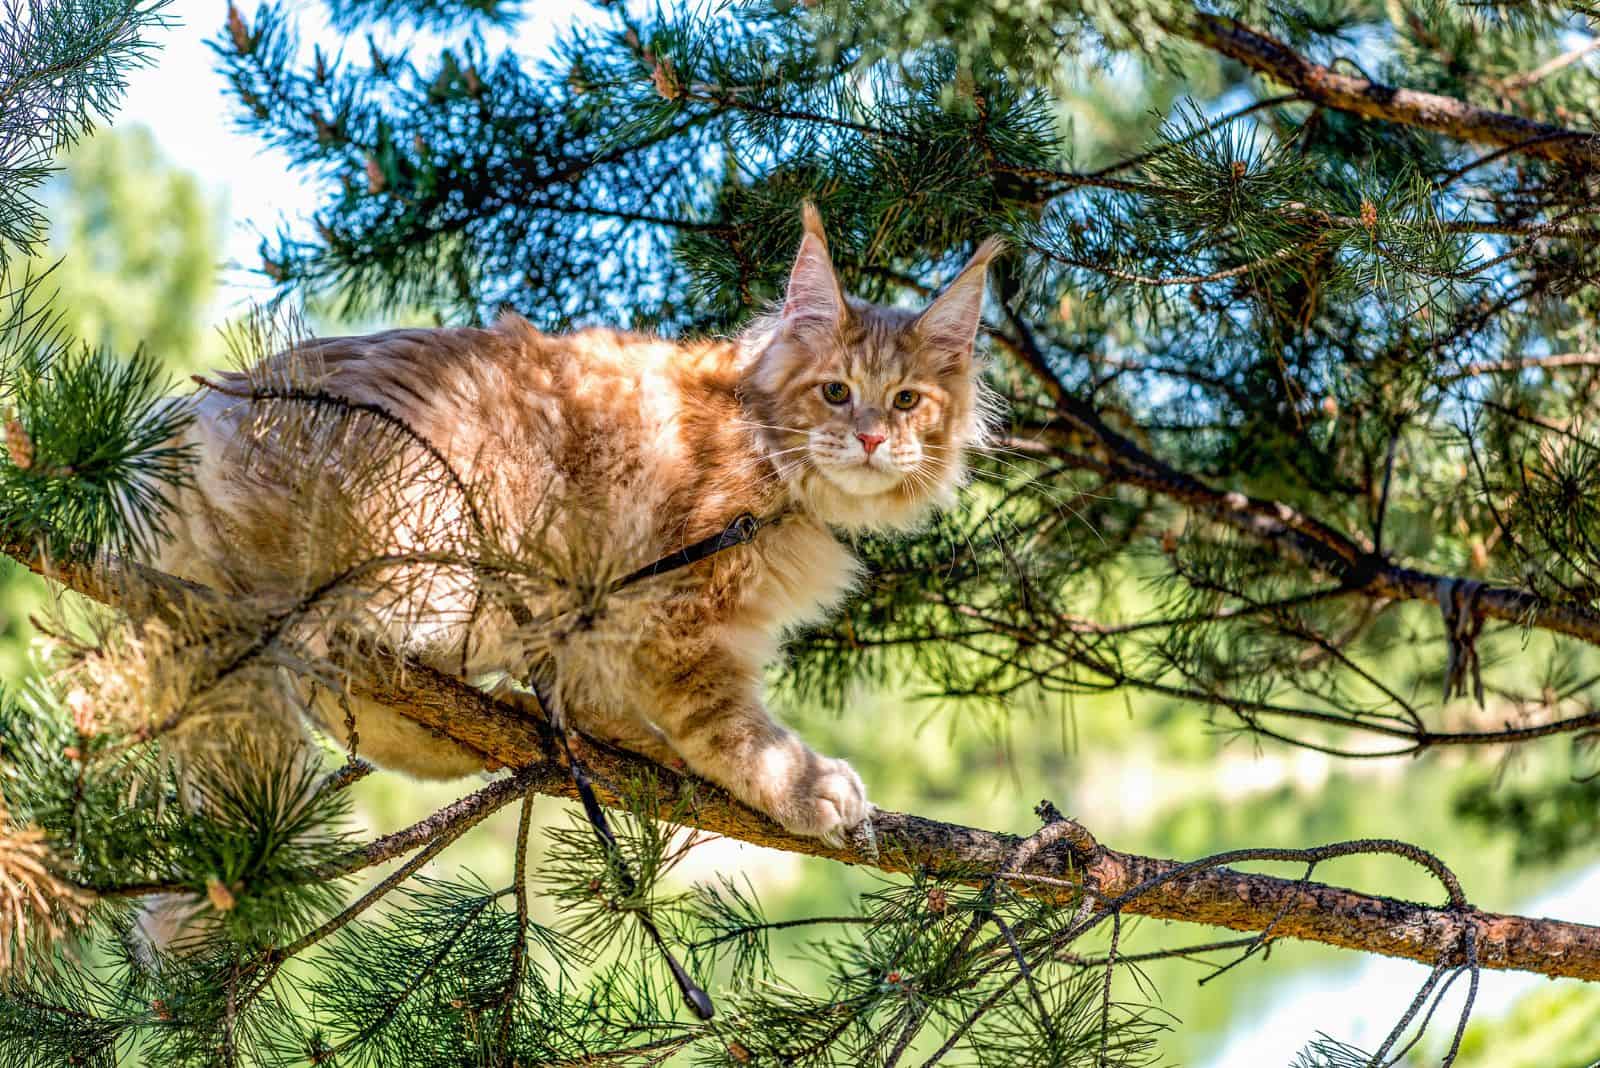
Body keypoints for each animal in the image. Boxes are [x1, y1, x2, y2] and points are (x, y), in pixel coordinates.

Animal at [152, 206, 998, 844]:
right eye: (835, 392)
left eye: (907, 401)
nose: (871, 439)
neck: (771, 459)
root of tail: (201, 417)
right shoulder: (678, 616)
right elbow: (723, 723)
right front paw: (799, 784)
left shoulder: (602, 616)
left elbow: (593, 689)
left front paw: (603, 732)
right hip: (441, 556)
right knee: (339, 667)